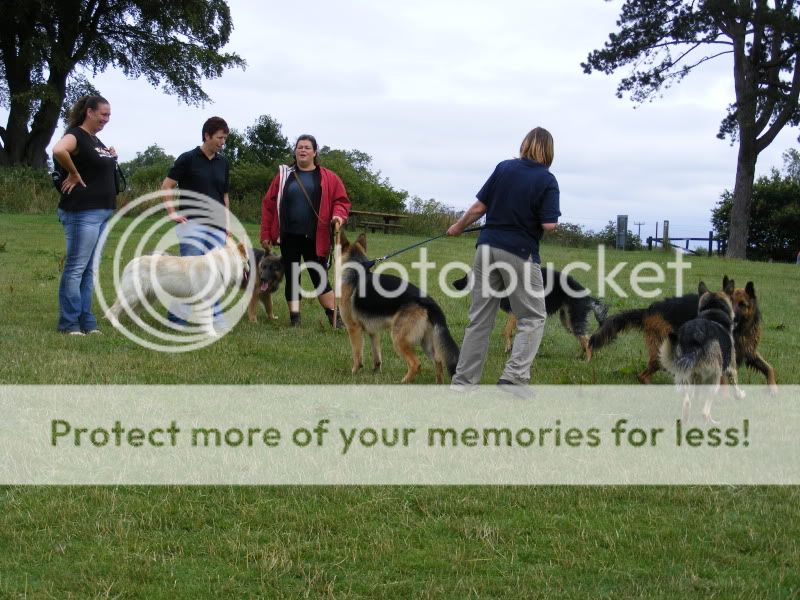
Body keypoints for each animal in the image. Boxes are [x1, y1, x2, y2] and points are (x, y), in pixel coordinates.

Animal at [340, 232, 462, 382]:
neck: (356, 270)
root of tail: (429, 302)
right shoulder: (373, 332)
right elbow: (377, 356)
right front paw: (375, 372)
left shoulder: (353, 329)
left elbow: (357, 355)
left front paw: (354, 373)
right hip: (426, 342)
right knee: (437, 361)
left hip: (399, 339)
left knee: (416, 363)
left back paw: (403, 382)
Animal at [450, 266, 608, 356]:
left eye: (466, 277)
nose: (453, 283)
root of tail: (587, 296)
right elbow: (509, 331)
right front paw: (511, 347)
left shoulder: (515, 312)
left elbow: (506, 331)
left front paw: (508, 347)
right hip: (568, 321)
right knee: (585, 339)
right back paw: (580, 357)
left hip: (572, 319)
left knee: (586, 340)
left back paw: (586, 362)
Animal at [588, 276, 776, 392]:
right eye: (730, 303)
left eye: (742, 304)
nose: (733, 318)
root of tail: (649, 310)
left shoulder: (749, 352)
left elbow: (769, 368)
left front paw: (773, 388)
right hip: (662, 354)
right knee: (643, 375)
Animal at [660, 282, 748, 422]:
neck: (713, 311)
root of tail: (695, 339)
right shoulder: (731, 368)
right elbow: (735, 386)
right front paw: (741, 395)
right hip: (714, 379)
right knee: (705, 412)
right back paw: (713, 422)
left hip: (684, 377)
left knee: (687, 402)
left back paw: (685, 420)